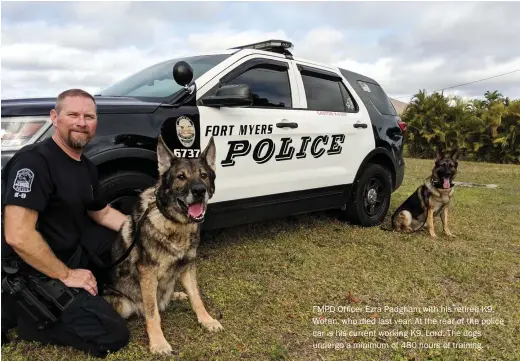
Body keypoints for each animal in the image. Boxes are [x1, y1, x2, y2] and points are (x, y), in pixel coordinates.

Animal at [103, 136, 221, 354]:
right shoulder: (148, 273)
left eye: (203, 175)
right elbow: (152, 313)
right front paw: (158, 342)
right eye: (181, 177)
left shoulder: (188, 267)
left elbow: (197, 298)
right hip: (123, 303)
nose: (199, 191)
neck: (176, 225)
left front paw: (206, 320)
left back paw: (176, 294)